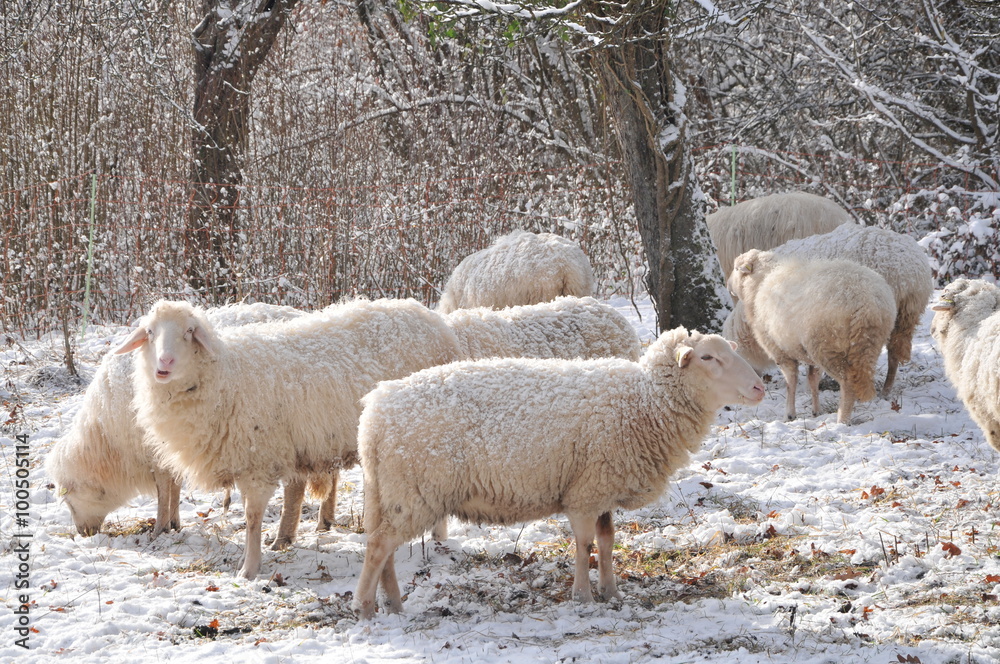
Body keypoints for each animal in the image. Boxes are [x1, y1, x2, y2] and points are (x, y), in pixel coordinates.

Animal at [46, 302, 304, 538]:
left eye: (69, 501)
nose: (83, 533)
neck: (108, 435)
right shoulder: (173, 444)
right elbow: (175, 483)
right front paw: (174, 522)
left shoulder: (155, 449)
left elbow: (164, 488)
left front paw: (160, 527)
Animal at [114, 297, 460, 579]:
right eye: (150, 332)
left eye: (188, 331)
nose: (164, 363)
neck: (224, 377)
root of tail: (433, 321)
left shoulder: (258, 461)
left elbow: (253, 518)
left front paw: (249, 569)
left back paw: (438, 538)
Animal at [352, 327, 765, 618]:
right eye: (708, 357)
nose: (759, 387)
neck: (645, 401)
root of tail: (373, 413)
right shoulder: (584, 493)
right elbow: (584, 546)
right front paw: (582, 597)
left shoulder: (601, 488)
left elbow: (607, 542)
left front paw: (612, 592)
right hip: (414, 490)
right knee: (378, 547)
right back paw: (365, 609)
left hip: (393, 492)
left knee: (385, 549)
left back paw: (394, 605)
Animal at [728, 249, 896, 423]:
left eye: (736, 268)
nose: (727, 285)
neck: (760, 283)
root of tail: (866, 304)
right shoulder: (809, 356)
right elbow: (813, 380)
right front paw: (816, 411)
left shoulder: (779, 350)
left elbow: (791, 381)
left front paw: (789, 415)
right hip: (866, 346)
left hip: (826, 345)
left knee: (848, 383)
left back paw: (842, 419)